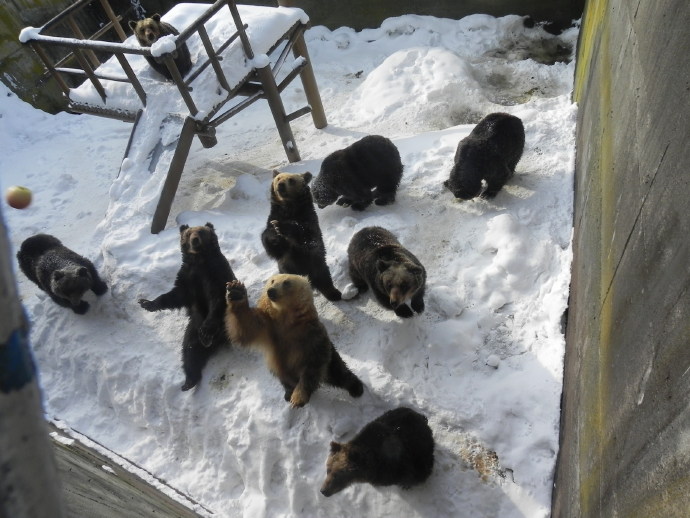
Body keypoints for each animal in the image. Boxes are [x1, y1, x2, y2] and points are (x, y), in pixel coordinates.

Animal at [138, 223, 235, 391]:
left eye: (201, 231)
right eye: (188, 233)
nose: (195, 240)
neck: (199, 260)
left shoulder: (214, 274)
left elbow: (217, 299)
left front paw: (206, 331)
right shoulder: (187, 279)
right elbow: (174, 296)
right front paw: (146, 303)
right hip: (192, 329)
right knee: (189, 351)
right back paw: (189, 381)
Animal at [224, 274, 363, 407]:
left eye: (286, 282)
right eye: (272, 281)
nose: (271, 291)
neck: (287, 321)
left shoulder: (312, 334)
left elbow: (313, 363)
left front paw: (298, 398)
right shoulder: (269, 328)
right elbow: (247, 328)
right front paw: (236, 290)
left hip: (330, 359)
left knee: (338, 372)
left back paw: (356, 388)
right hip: (281, 370)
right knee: (283, 376)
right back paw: (288, 392)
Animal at [261, 170, 342, 302]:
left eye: (291, 180)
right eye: (278, 178)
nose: (281, 185)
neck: (289, 208)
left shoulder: (308, 218)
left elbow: (309, 239)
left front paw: (282, 227)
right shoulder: (274, 217)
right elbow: (274, 247)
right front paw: (276, 233)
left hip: (317, 266)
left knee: (325, 279)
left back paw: (334, 294)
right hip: (287, 271)